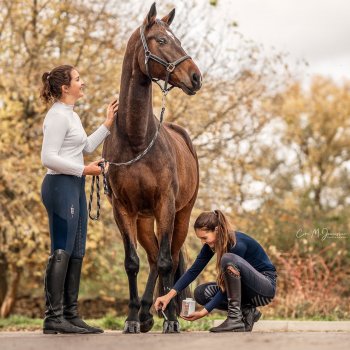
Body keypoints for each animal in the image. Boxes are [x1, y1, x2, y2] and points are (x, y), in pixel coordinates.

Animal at [102, 2, 201, 334]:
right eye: (161, 40)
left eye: (178, 38)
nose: (196, 77)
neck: (136, 140)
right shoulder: (122, 209)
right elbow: (132, 262)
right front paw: (132, 318)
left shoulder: (166, 205)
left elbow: (167, 262)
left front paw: (170, 318)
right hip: (145, 220)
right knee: (153, 255)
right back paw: (146, 312)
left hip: (181, 214)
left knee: (168, 255)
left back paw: (166, 311)